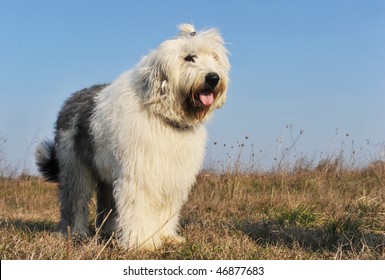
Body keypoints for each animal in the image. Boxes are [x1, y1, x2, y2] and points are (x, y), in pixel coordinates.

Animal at [35, 24, 228, 249]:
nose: (213, 78)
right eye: (189, 57)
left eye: (214, 57)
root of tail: (71, 99)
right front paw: (143, 242)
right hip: (75, 167)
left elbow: (166, 209)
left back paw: (109, 231)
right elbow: (139, 206)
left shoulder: (171, 176)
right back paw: (74, 232)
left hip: (107, 174)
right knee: (75, 199)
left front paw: (166, 236)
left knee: (107, 204)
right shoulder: (140, 173)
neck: (163, 115)